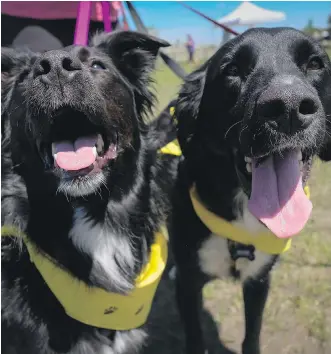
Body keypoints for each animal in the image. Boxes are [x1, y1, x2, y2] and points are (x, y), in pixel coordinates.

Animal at [171, 27, 331, 354]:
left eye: (315, 63)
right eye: (232, 70)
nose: (289, 107)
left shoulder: (259, 281)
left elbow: (252, 335)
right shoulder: (187, 285)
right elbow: (195, 337)